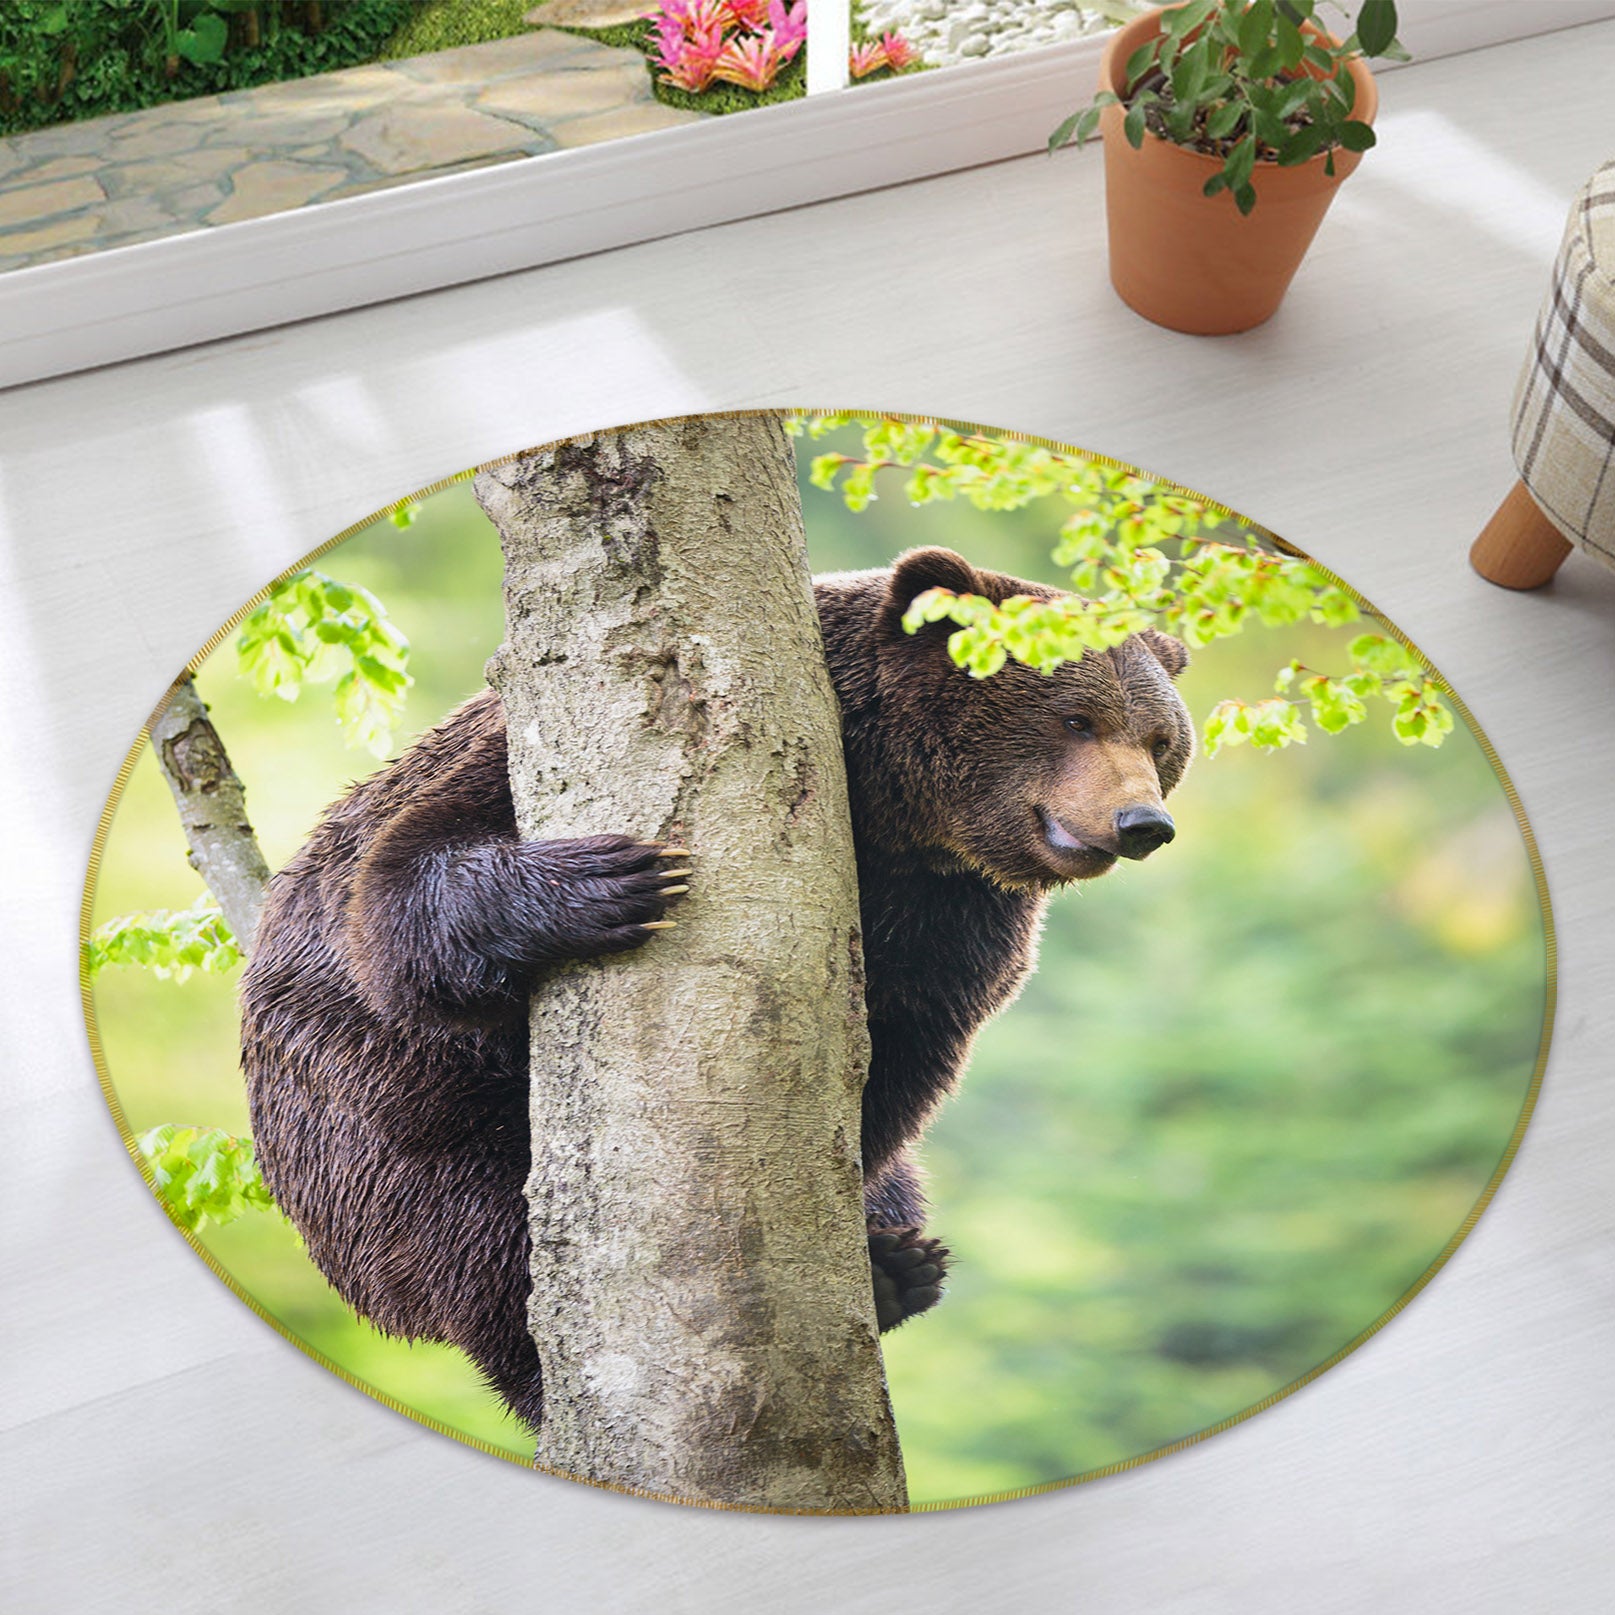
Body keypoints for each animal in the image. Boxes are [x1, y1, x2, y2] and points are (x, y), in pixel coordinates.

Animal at [240, 545, 1193, 1441]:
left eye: (1157, 739)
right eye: (1074, 717)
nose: (1141, 823)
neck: (884, 804)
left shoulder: (948, 911)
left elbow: (896, 1063)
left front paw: (857, 1224)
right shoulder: (508, 762)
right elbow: (400, 895)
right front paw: (612, 878)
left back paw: (899, 1268)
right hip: (385, 1114)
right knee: (480, 1236)